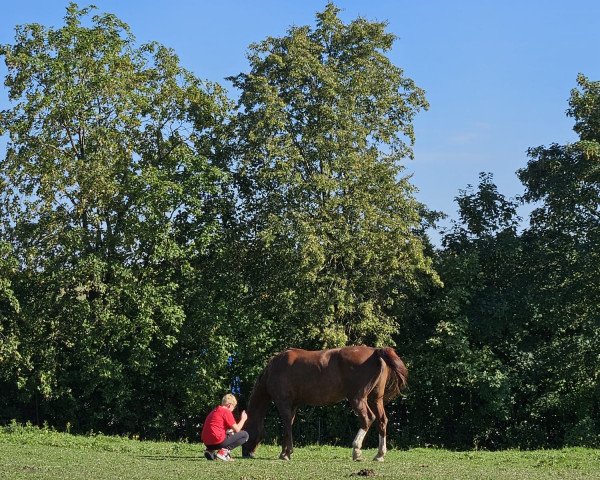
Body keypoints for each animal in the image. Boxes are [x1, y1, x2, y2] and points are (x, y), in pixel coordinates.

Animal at [240, 344, 408, 462]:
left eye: (245, 430)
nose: (246, 453)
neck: (274, 369)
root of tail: (375, 351)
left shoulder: (283, 403)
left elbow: (286, 426)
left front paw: (285, 453)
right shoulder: (293, 405)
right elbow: (289, 425)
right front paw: (286, 452)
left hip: (358, 399)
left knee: (367, 419)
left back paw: (356, 450)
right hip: (375, 399)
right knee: (382, 421)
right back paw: (379, 454)